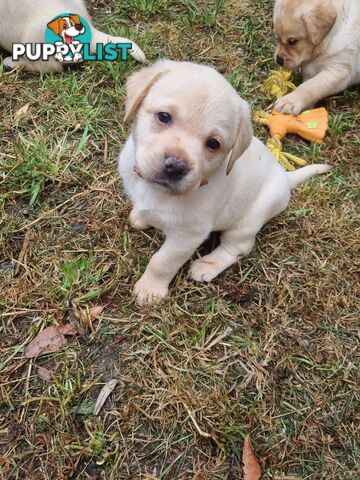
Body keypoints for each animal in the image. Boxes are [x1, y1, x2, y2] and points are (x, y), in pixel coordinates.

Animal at [119, 60, 330, 304]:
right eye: (163, 117)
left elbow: (162, 261)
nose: (176, 166)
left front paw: (150, 289)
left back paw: (207, 265)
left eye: (213, 144)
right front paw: (141, 217)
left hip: (249, 219)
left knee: (238, 247)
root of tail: (285, 177)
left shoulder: (187, 236)